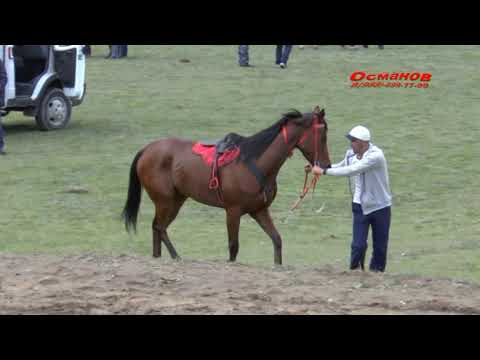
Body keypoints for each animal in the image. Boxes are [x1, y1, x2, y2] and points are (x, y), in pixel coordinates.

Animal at [122, 106, 332, 264]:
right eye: (322, 135)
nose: (326, 165)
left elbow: (277, 240)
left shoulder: (259, 210)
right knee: (159, 228)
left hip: (176, 200)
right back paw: (176, 257)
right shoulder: (233, 211)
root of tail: (146, 149)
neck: (255, 162)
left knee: (157, 229)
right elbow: (233, 247)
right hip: (165, 201)